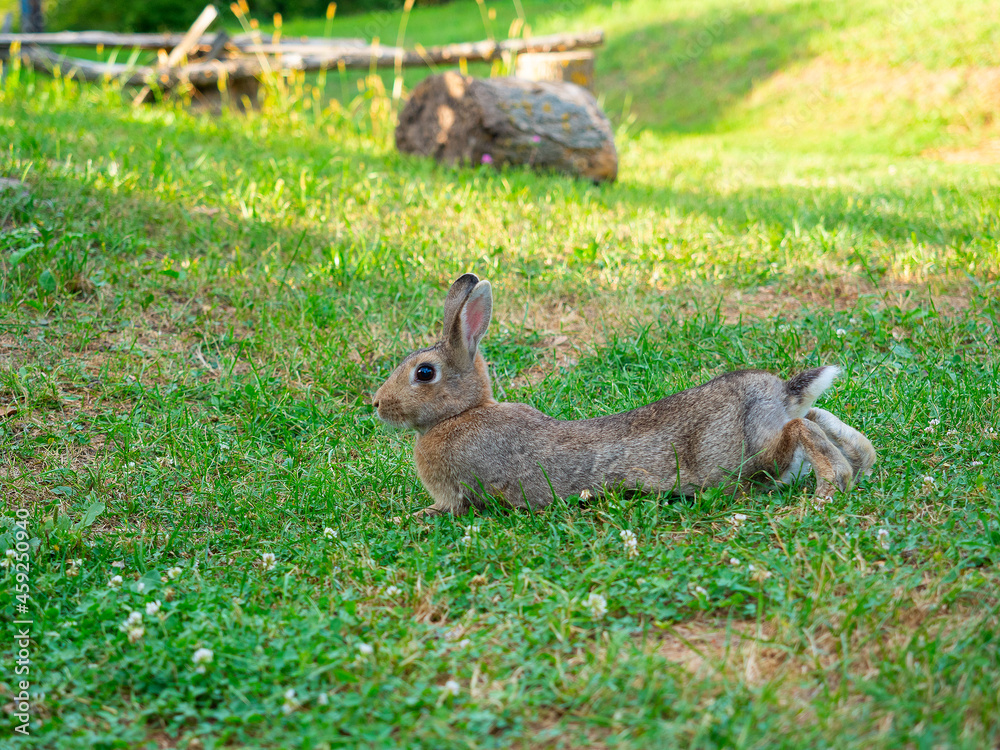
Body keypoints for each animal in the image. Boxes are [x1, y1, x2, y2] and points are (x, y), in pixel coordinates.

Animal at [373, 273, 876, 516]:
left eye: (424, 373)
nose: (376, 404)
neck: (460, 415)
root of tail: (780, 393)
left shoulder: (460, 491)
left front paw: (408, 517)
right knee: (821, 420)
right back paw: (858, 465)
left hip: (744, 460)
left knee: (799, 432)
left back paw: (830, 488)